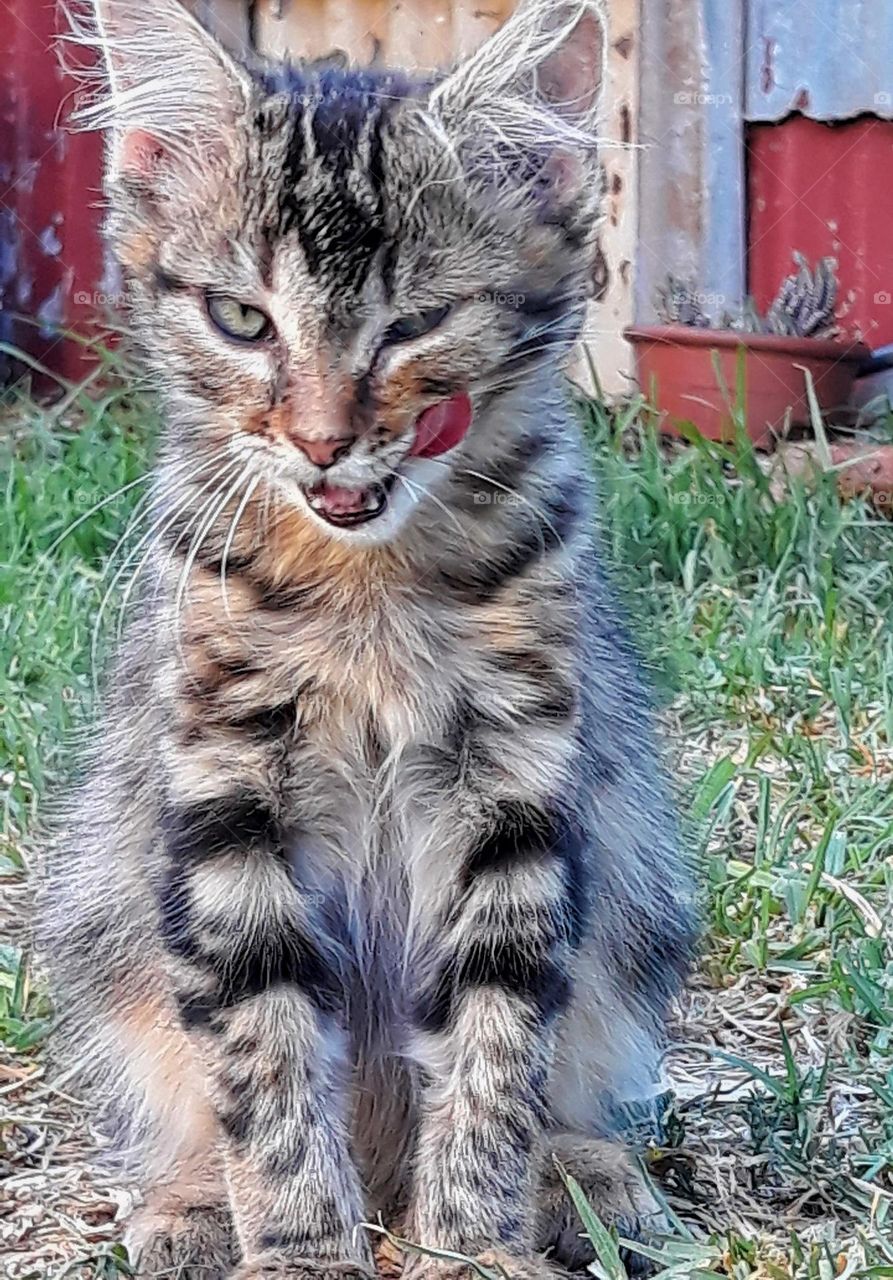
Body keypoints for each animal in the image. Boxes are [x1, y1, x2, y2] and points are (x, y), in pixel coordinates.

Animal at [38, 2, 690, 1280]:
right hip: (105, 912)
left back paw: (583, 1176)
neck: (366, 590)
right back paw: (189, 1204)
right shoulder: (225, 796)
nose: (322, 442)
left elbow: (493, 1051)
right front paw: (297, 1246)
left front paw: (472, 1244)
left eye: (415, 326)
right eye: (241, 318)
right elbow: (266, 1060)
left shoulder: (517, 792)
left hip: (633, 901)